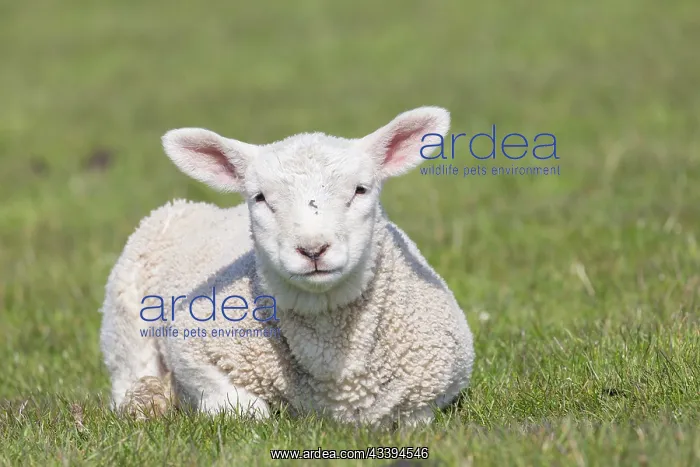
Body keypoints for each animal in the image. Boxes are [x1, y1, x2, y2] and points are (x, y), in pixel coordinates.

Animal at [98, 106, 475, 427]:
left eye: (360, 190)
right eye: (260, 197)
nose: (312, 249)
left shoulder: (435, 388)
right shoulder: (193, 350)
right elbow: (246, 411)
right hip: (124, 320)